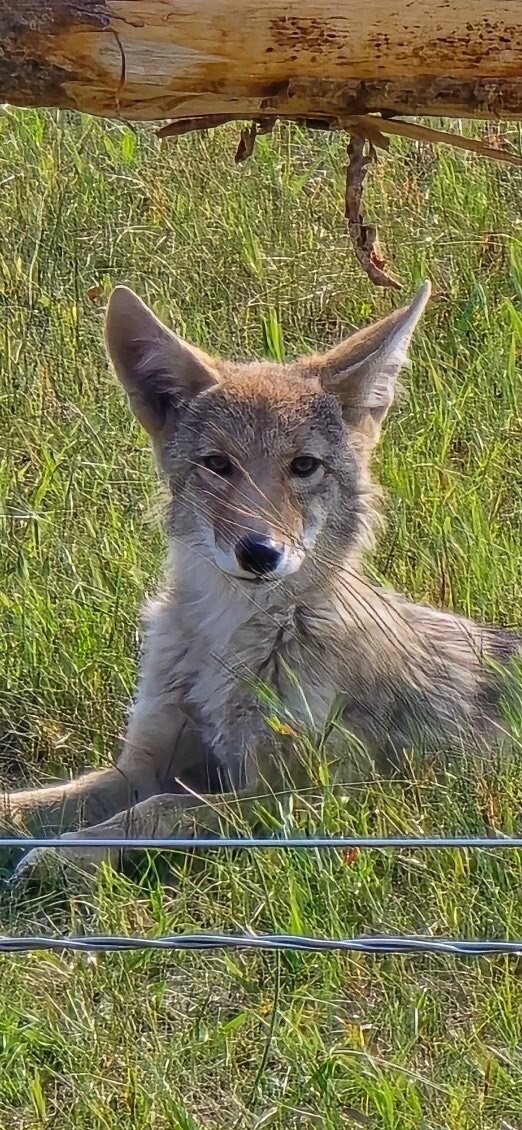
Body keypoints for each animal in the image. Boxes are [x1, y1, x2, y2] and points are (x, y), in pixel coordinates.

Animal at [2, 279, 520, 878]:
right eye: (217, 464)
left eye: (304, 466)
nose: (260, 552)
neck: (227, 641)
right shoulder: (143, 764)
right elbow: (34, 803)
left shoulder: (307, 799)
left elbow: (161, 810)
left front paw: (58, 856)